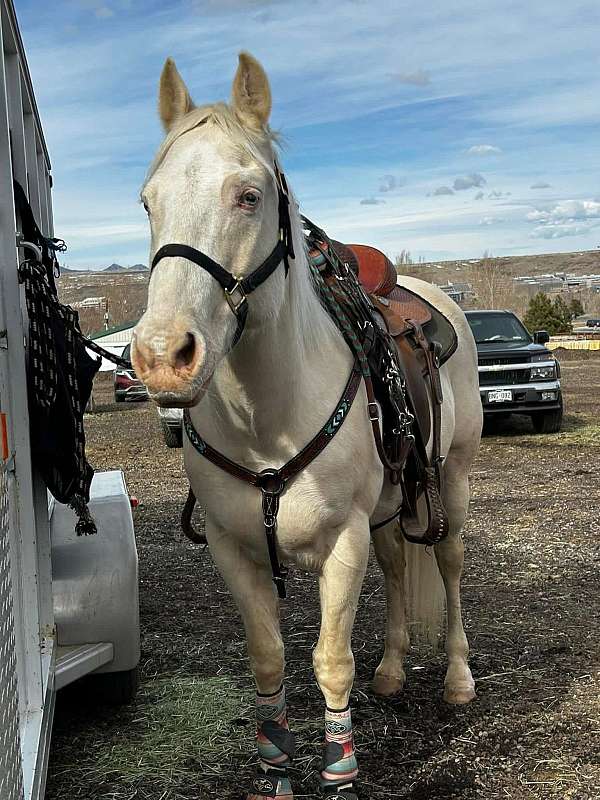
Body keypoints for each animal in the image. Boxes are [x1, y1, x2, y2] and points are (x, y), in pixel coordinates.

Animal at [132, 52, 482, 800]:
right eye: (149, 200)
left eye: (249, 196)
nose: (163, 357)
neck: (267, 419)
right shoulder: (233, 549)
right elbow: (268, 659)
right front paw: (275, 767)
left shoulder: (343, 541)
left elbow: (330, 661)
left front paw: (340, 768)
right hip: (390, 505)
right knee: (399, 562)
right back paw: (393, 669)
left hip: (453, 480)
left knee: (447, 562)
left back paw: (458, 676)